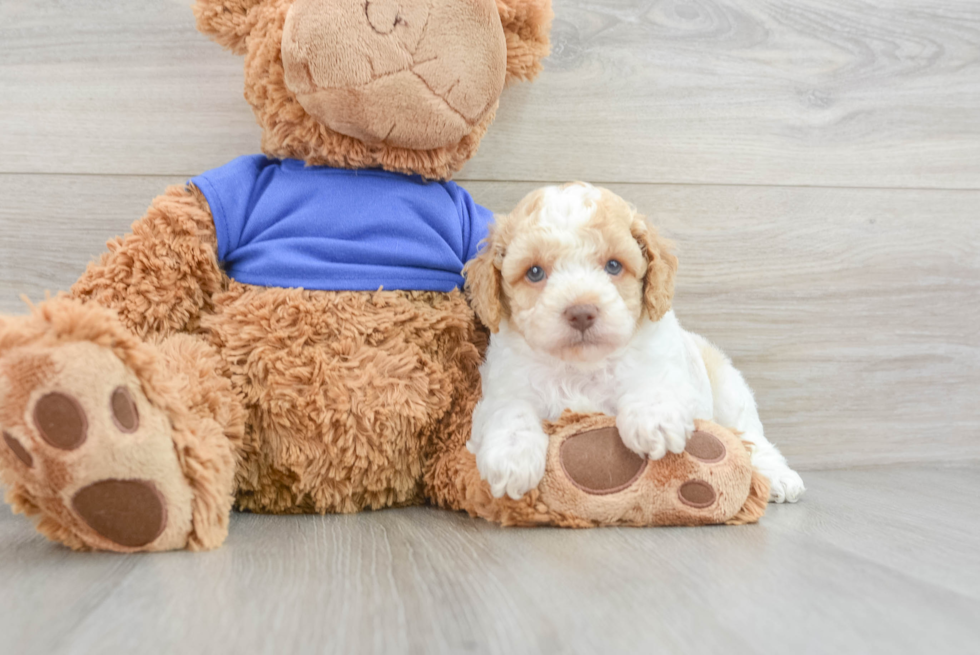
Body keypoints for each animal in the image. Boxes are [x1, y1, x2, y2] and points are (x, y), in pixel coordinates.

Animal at [466, 186, 804, 508]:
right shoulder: (501, 387)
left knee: (752, 437)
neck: (582, 366)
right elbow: (510, 411)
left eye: (614, 266)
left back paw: (779, 477)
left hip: (731, 393)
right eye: (534, 272)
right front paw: (511, 458)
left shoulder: (670, 369)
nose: (581, 312)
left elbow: (653, 383)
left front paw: (653, 422)